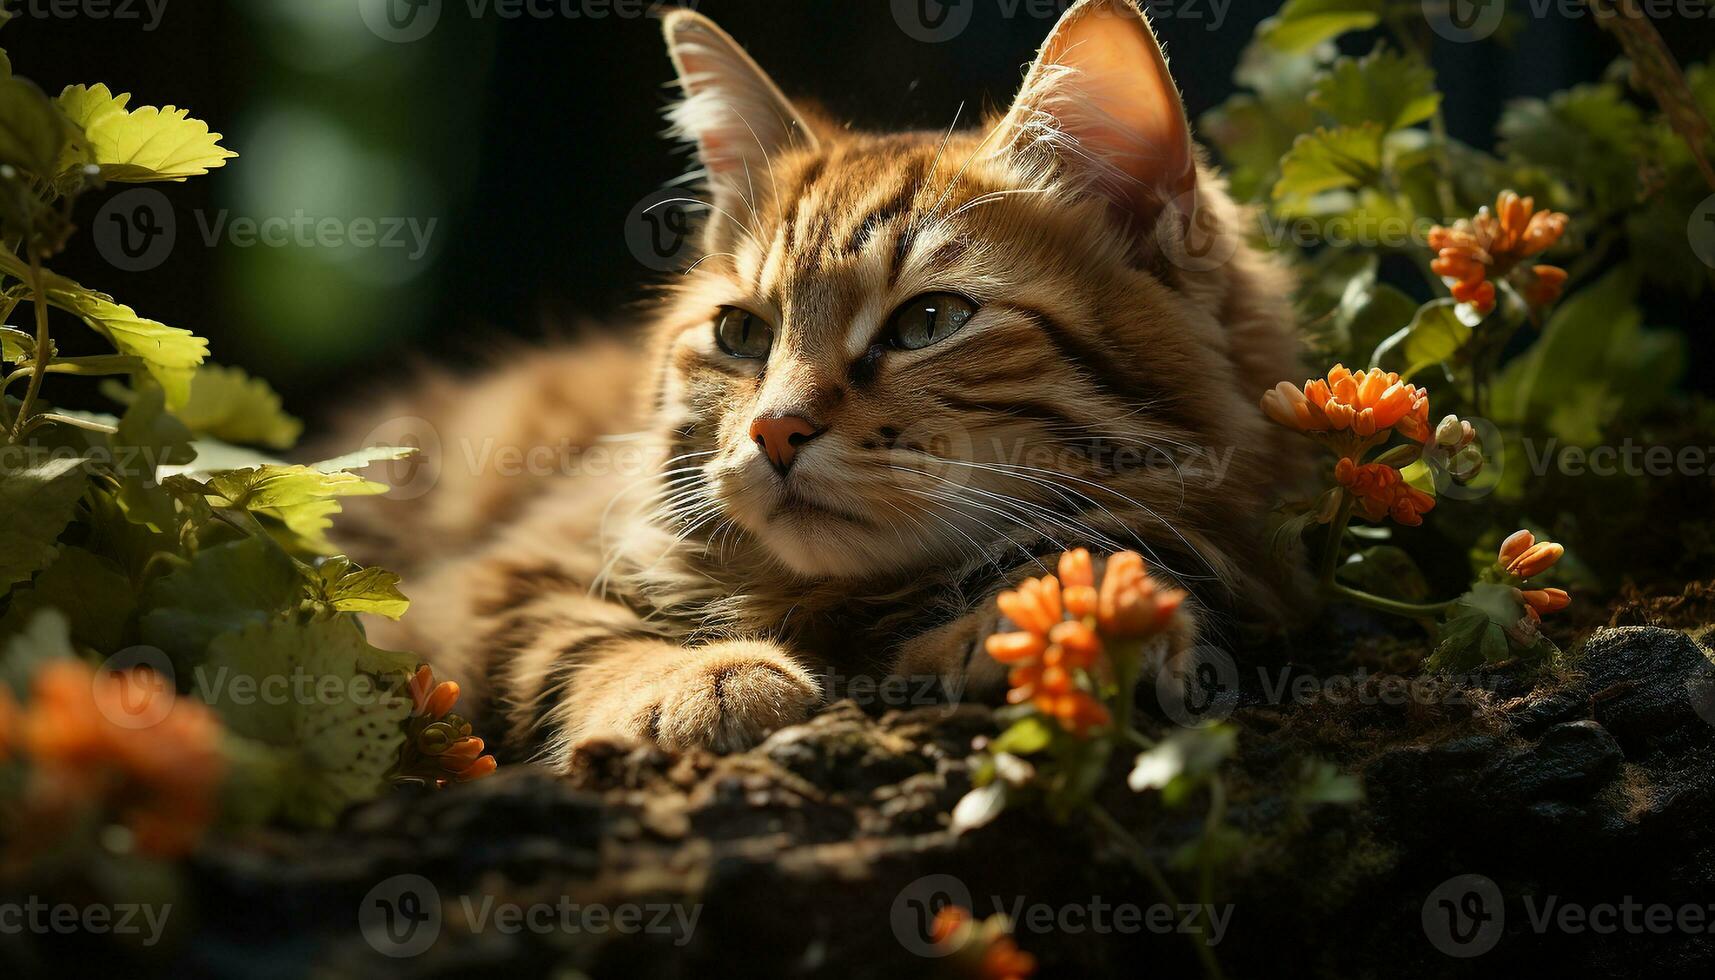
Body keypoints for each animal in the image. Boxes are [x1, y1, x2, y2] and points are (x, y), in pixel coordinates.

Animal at [337, 0, 1296, 772]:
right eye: (741, 335)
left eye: (927, 323)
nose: (774, 430)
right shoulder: (481, 584)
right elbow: (572, 637)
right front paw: (701, 681)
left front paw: (1052, 620)